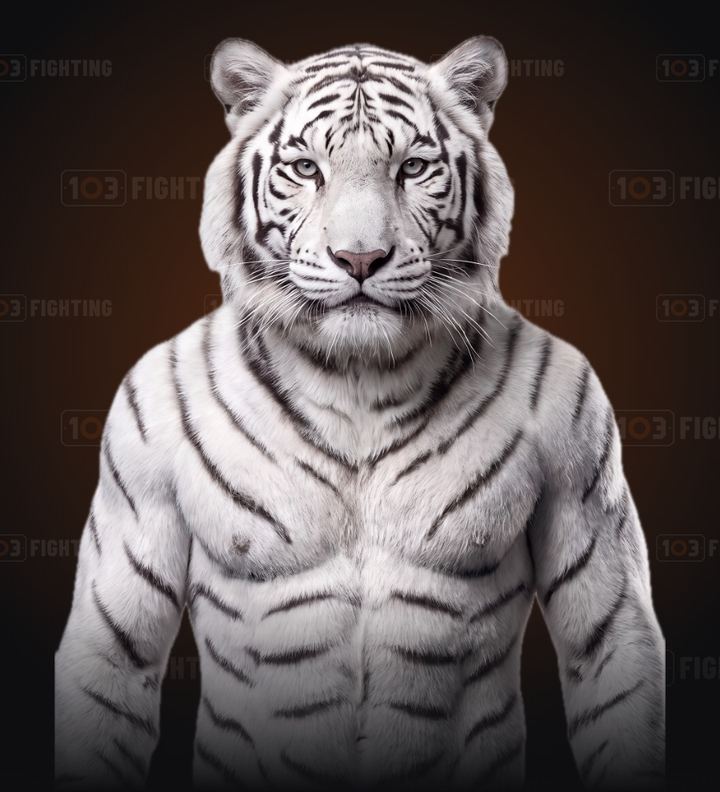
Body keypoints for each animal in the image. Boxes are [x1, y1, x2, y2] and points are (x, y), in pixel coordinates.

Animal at [54, 36, 665, 791]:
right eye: (306, 169)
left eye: (413, 168)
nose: (361, 258)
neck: (359, 374)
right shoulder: (133, 478)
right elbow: (121, 652)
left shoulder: (583, 449)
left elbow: (601, 646)